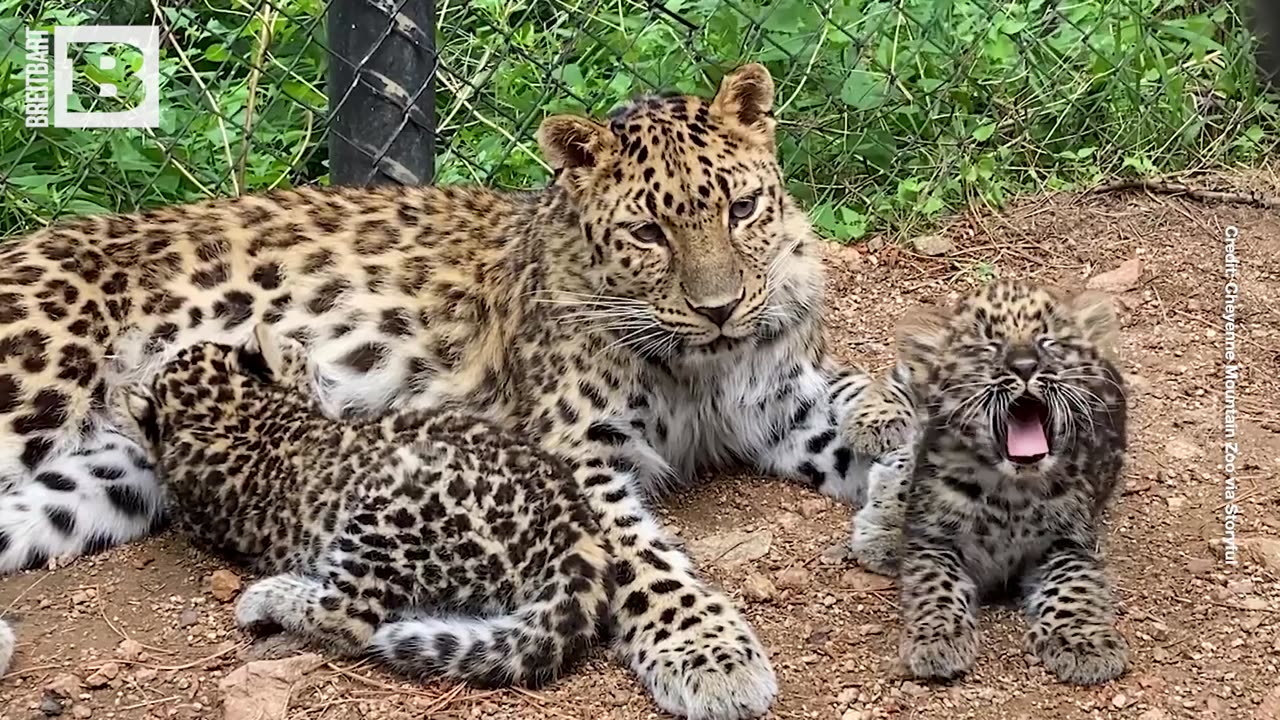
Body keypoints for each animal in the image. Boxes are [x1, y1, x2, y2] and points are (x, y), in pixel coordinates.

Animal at [2, 64, 921, 712]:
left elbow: (872, 420)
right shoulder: (575, 453)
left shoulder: (782, 403)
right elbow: (642, 556)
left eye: (741, 208)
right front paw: (708, 652)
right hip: (32, 387)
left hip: (109, 477)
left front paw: (896, 505)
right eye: (648, 232)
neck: (703, 365)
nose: (721, 307)